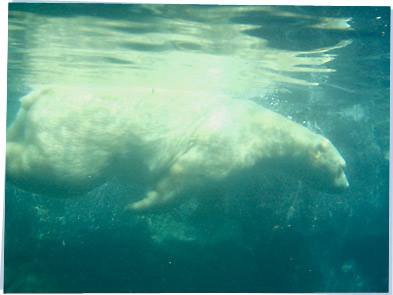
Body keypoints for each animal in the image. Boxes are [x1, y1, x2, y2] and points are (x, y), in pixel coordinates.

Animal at [6, 86, 348, 213]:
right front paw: (140, 205)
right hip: (84, 132)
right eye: (343, 167)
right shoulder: (228, 136)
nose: (346, 187)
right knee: (63, 172)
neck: (266, 129)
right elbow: (192, 173)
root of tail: (40, 94)